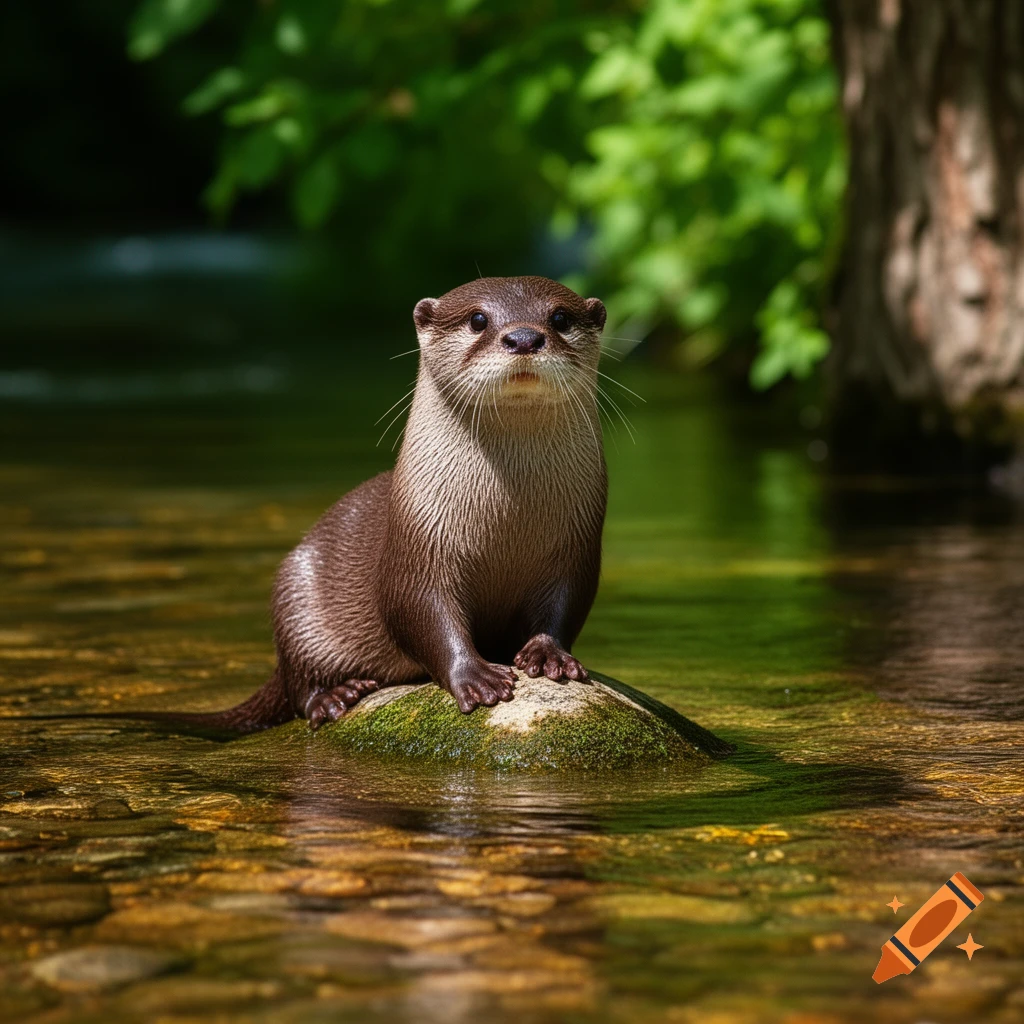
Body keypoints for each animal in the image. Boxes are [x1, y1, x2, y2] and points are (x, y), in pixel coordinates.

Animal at [141, 275, 609, 734]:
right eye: (478, 319)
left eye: (560, 317)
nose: (524, 337)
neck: (508, 520)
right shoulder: (416, 546)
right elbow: (421, 613)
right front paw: (476, 677)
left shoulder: (577, 547)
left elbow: (566, 605)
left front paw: (549, 655)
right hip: (295, 598)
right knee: (298, 688)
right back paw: (335, 697)